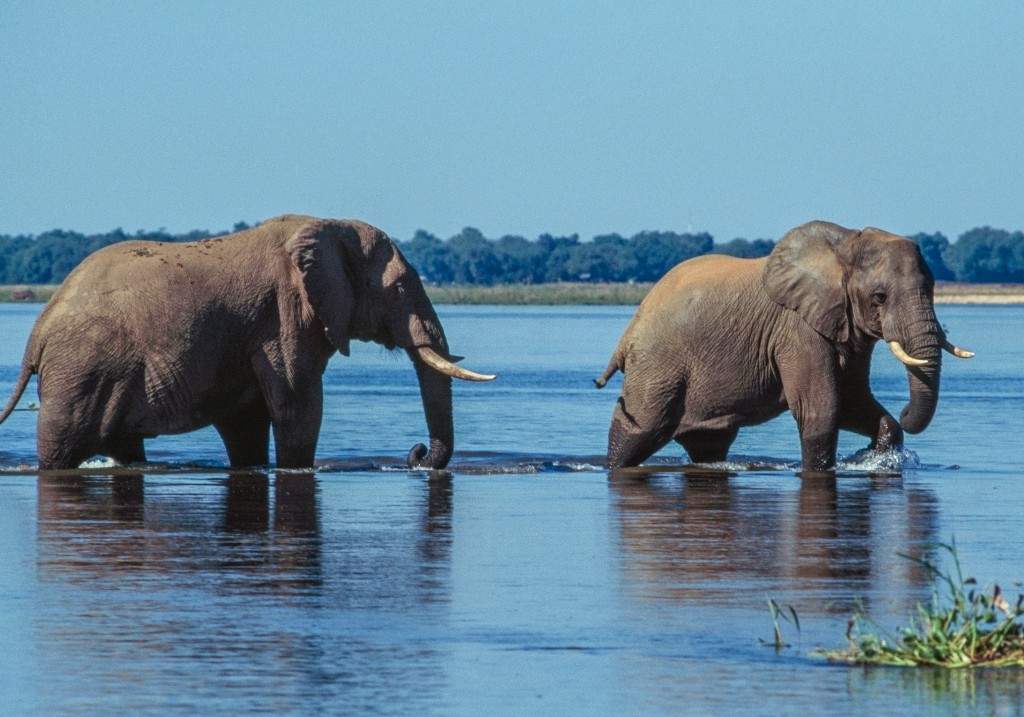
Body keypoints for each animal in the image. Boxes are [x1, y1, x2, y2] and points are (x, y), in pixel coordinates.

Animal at [0, 214, 495, 470]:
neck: (328, 227)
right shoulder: (284, 317)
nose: (415, 454)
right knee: (61, 446)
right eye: (399, 287)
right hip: (82, 370)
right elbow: (298, 405)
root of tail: (38, 333)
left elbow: (247, 420)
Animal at [595, 220, 973, 471]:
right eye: (879, 297)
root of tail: (628, 333)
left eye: (933, 286)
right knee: (637, 430)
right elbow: (822, 409)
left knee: (708, 444)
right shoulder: (797, 331)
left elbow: (854, 403)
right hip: (657, 366)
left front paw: (877, 456)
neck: (844, 244)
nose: (908, 411)